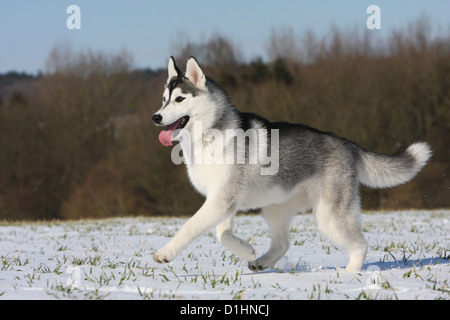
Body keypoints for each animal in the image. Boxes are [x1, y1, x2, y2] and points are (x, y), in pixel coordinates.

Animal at [152, 56, 432, 272]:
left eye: (179, 99)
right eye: (164, 99)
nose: (156, 117)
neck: (208, 135)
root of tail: (346, 143)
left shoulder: (221, 200)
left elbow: (189, 227)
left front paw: (165, 253)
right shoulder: (221, 201)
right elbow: (223, 235)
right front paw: (246, 250)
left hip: (330, 216)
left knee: (360, 245)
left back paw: (350, 275)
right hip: (276, 208)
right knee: (283, 243)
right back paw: (262, 261)